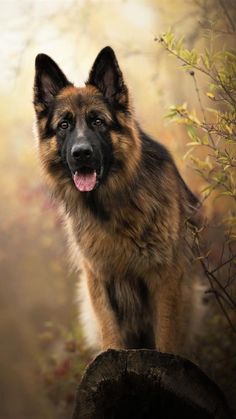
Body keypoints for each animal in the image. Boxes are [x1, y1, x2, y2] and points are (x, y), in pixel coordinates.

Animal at [32, 46, 199, 354]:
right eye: (64, 125)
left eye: (98, 121)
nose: (81, 153)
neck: (112, 204)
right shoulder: (97, 278)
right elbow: (110, 332)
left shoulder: (166, 277)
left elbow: (167, 336)